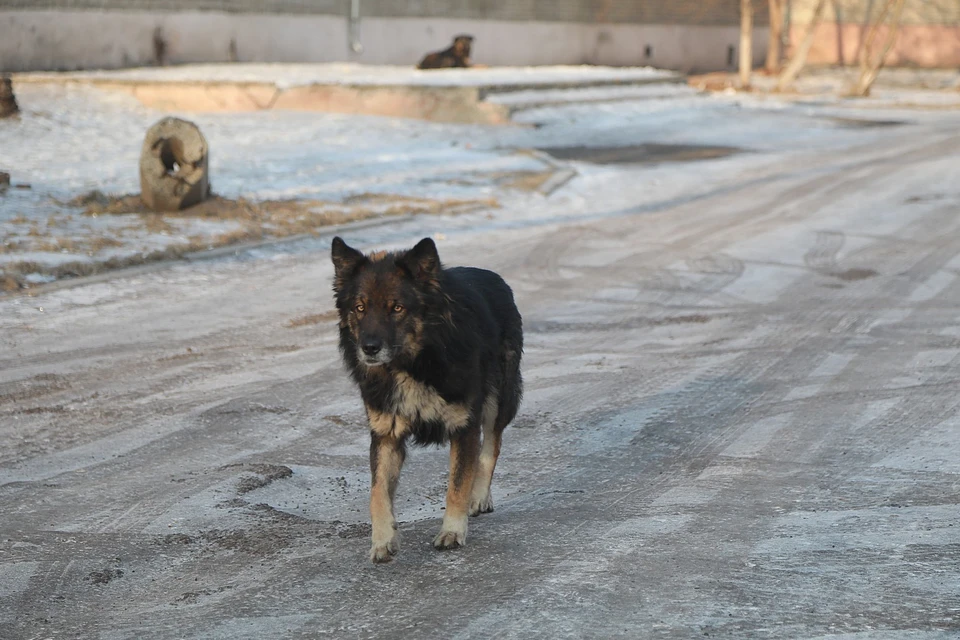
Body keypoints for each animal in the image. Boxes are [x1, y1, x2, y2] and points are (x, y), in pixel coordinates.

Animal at [330, 238, 524, 564]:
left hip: (498, 400)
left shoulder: (464, 425)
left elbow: (457, 485)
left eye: (396, 307)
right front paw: (383, 540)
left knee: (491, 446)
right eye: (360, 308)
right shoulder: (385, 434)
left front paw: (453, 531)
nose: (368, 348)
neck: (412, 363)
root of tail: (494, 277)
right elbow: (377, 493)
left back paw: (479, 496)